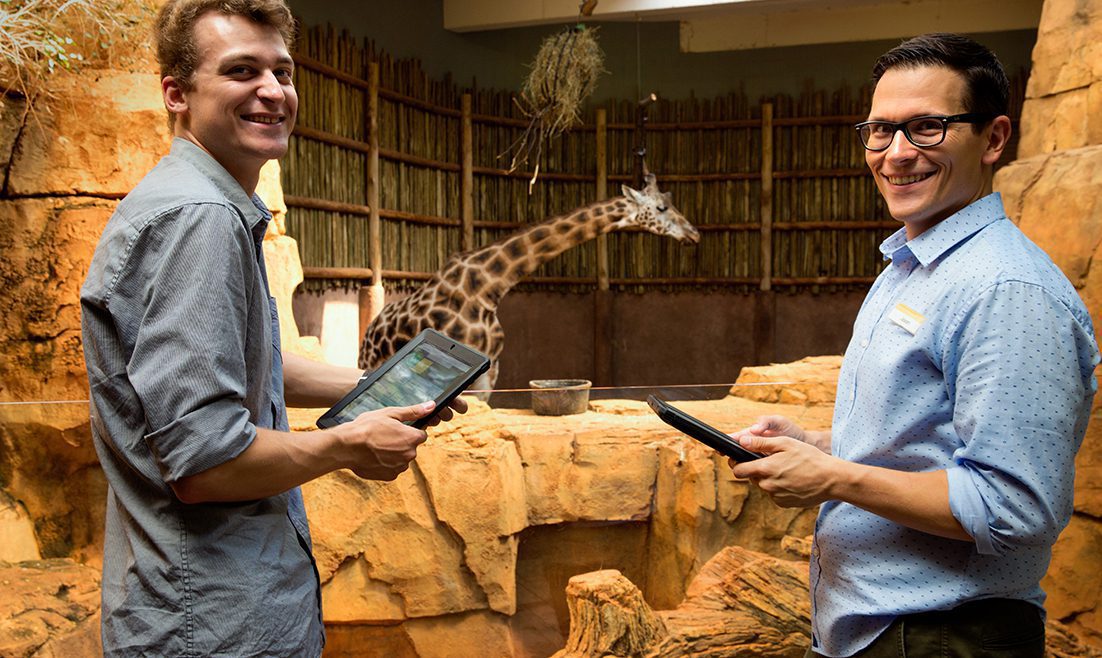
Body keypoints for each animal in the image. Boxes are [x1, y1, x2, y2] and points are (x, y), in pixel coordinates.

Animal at [357, 171, 700, 392]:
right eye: (661, 207)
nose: (694, 234)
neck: (487, 287)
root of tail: (370, 331)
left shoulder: (490, 370)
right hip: (368, 365)